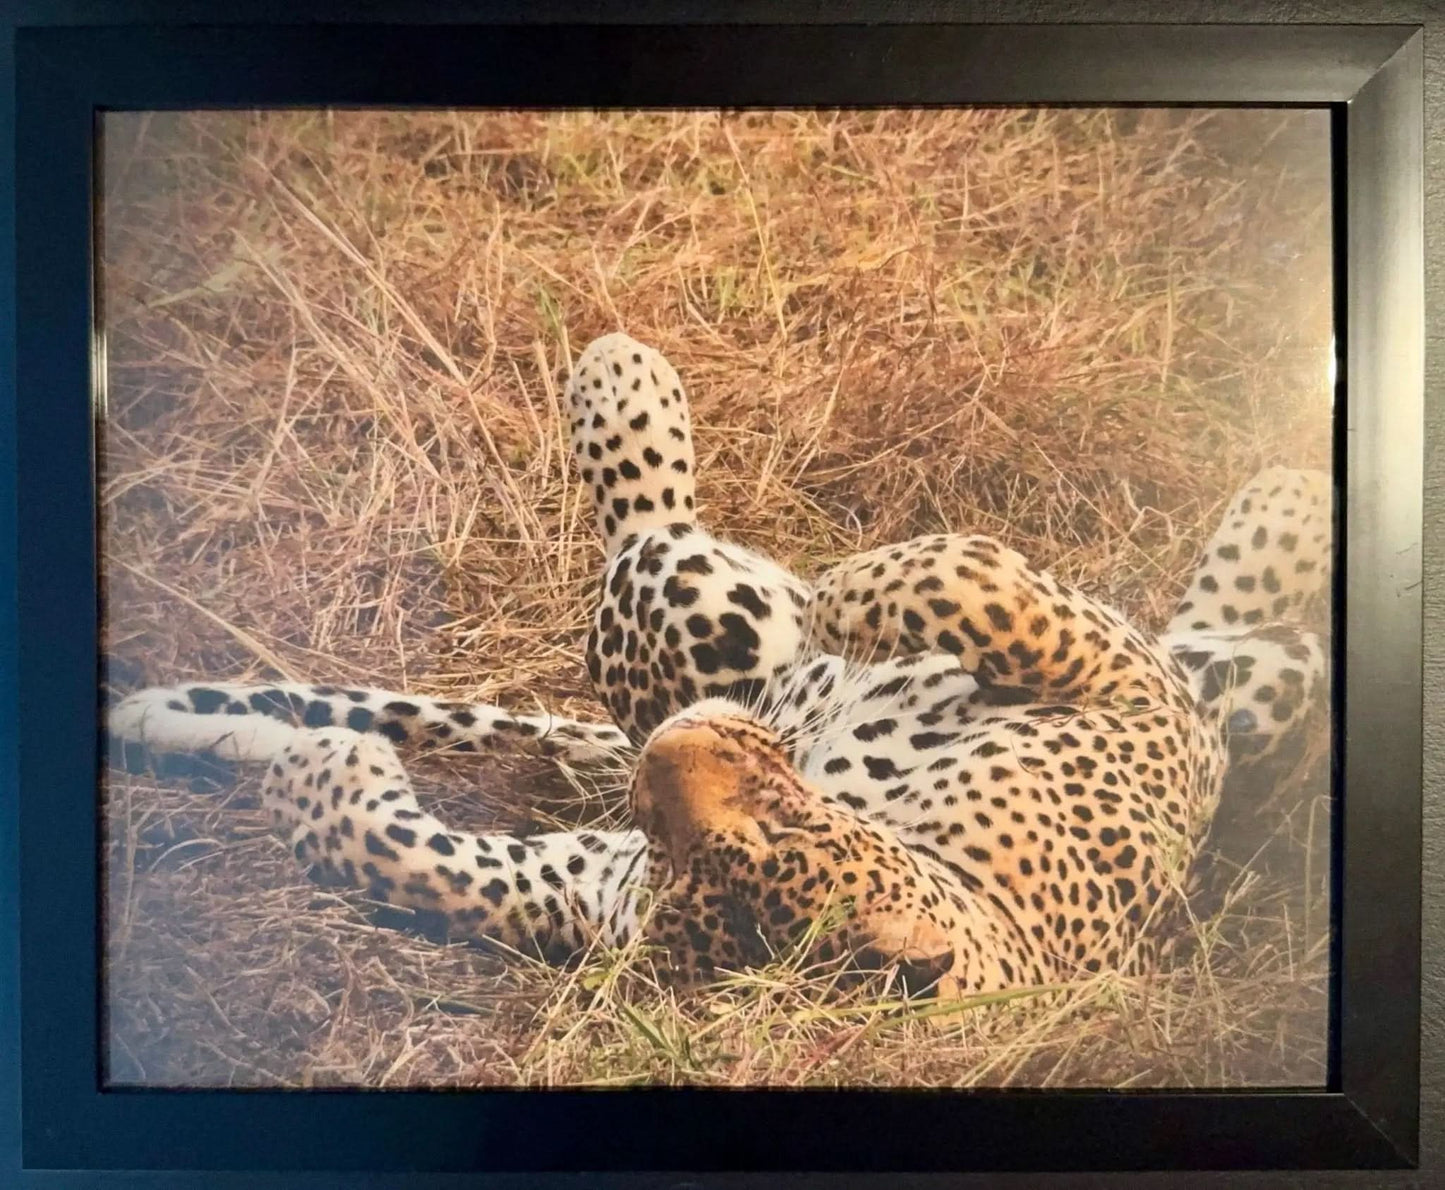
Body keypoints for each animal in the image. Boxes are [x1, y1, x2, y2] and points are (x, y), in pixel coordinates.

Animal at [108, 333, 1332, 997]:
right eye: (678, 848)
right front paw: (327, 777)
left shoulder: (1135, 711)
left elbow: (972, 578)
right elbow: (422, 862)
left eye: (775, 829)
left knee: (655, 544)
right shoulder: (589, 884)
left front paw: (858, 595)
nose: (673, 749)